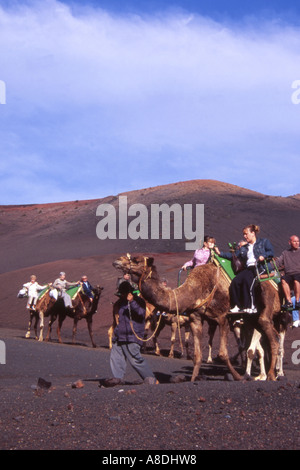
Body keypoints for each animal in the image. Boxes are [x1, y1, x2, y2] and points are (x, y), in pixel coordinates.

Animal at [113, 253, 284, 382]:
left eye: (136, 260)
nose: (117, 260)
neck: (195, 289)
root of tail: (274, 284)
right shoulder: (195, 318)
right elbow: (197, 355)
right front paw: (193, 379)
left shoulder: (222, 317)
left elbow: (222, 353)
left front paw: (238, 377)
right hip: (251, 319)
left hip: (265, 309)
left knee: (274, 340)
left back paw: (271, 375)